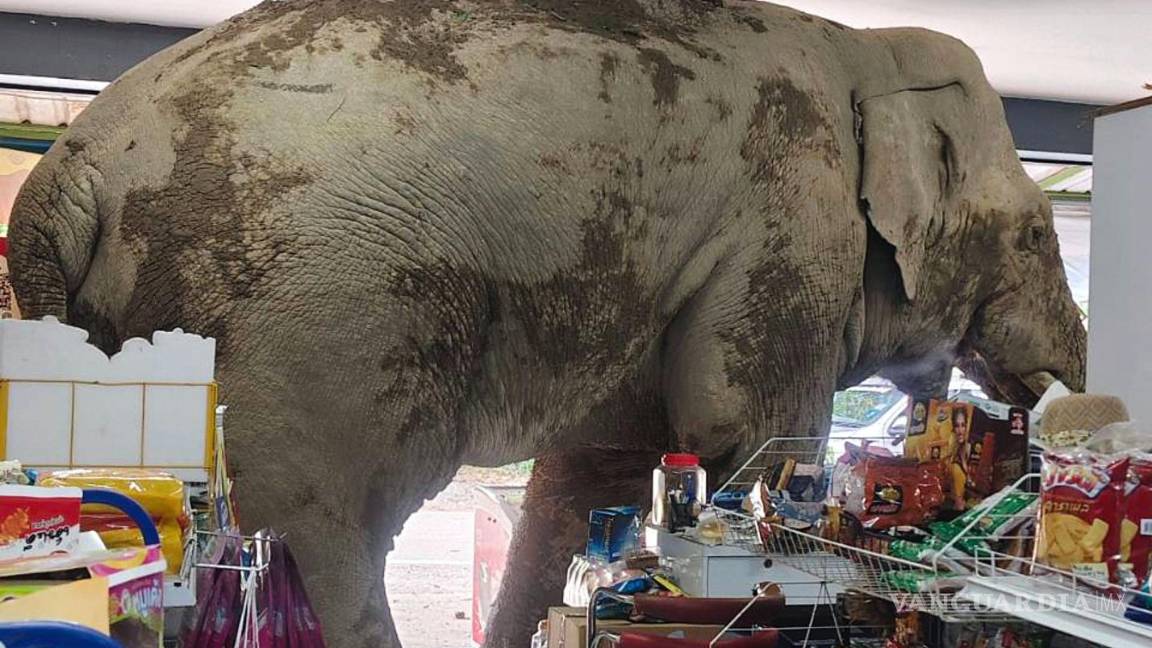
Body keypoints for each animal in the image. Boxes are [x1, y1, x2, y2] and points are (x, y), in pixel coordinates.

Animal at [8, 0, 1086, 646]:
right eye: (1037, 234)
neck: (866, 49)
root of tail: (65, 171)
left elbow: (591, 476)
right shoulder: (790, 215)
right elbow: (746, 431)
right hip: (317, 306)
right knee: (334, 517)